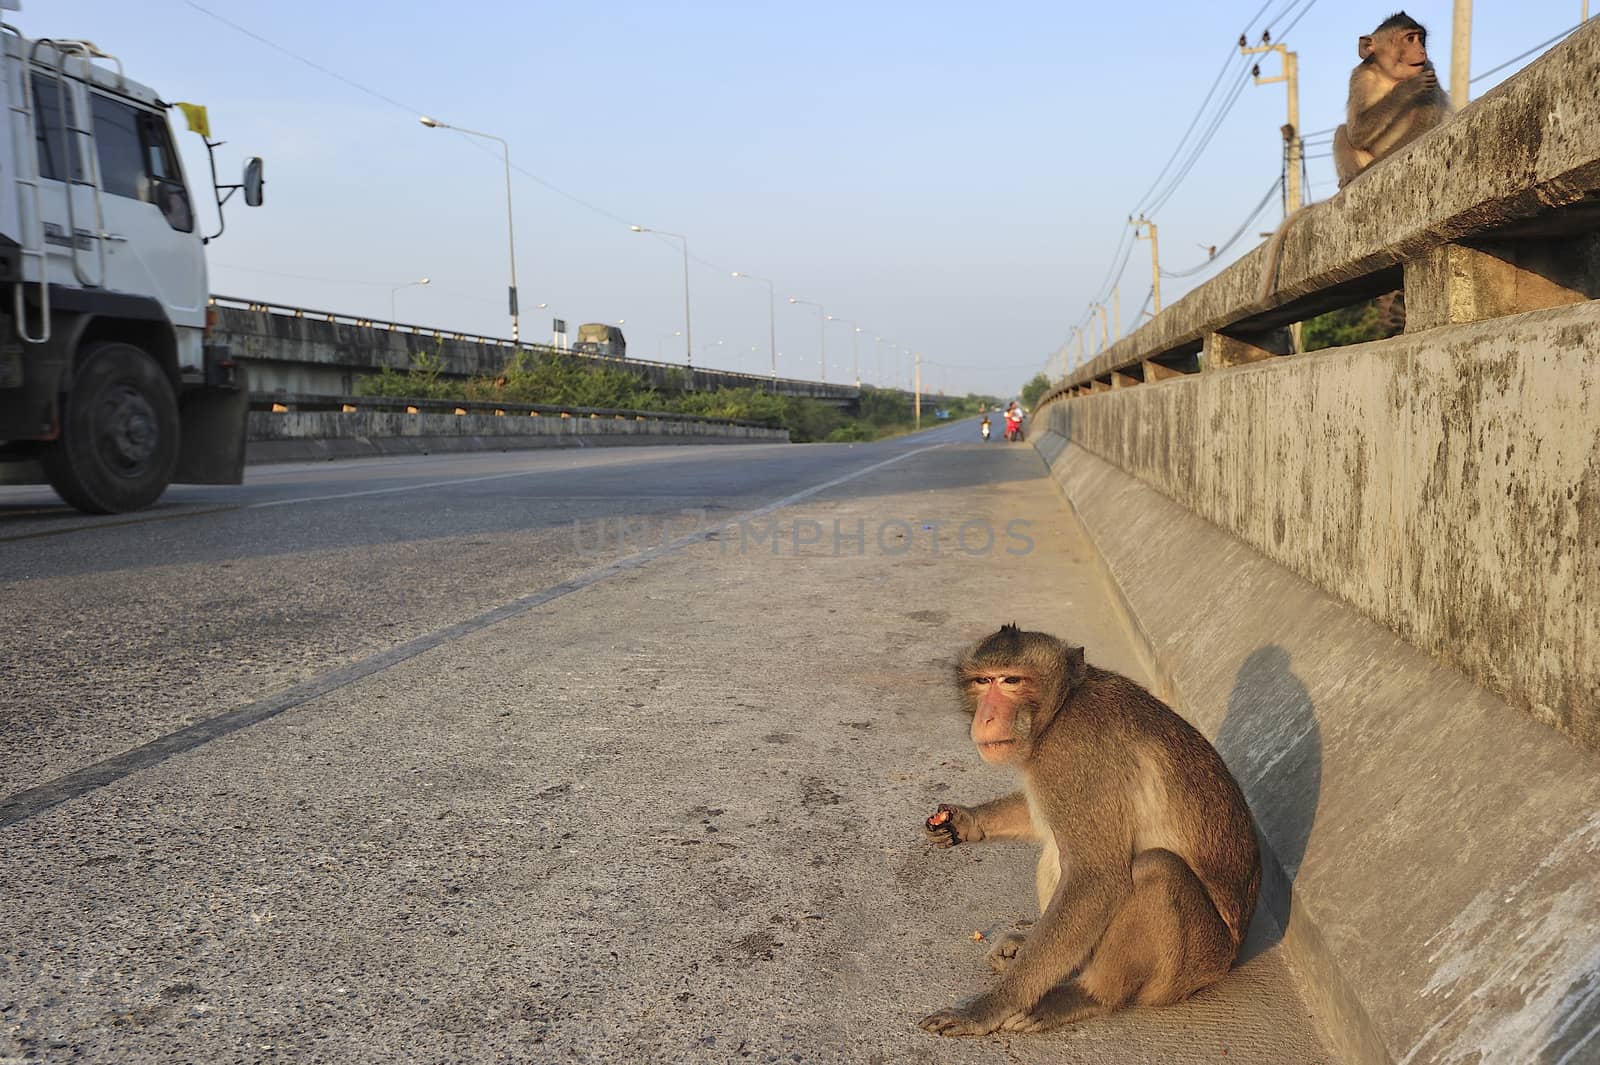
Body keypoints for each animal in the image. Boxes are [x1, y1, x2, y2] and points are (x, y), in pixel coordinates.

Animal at [921, 623, 1254, 1029]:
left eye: (1011, 681)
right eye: (983, 681)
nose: (985, 718)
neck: (1061, 709)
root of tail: (1231, 957)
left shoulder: (1073, 756)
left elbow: (1097, 878)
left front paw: (988, 1007)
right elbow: (1039, 821)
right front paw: (966, 822)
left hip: (1192, 966)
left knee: (1156, 870)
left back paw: (1087, 995)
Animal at [1331, 11, 1459, 185]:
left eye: (1421, 39)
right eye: (1410, 39)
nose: (1422, 51)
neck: (1390, 76)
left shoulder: (1427, 68)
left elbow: (1421, 128)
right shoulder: (1360, 78)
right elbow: (1356, 131)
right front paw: (1406, 88)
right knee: (1342, 131)